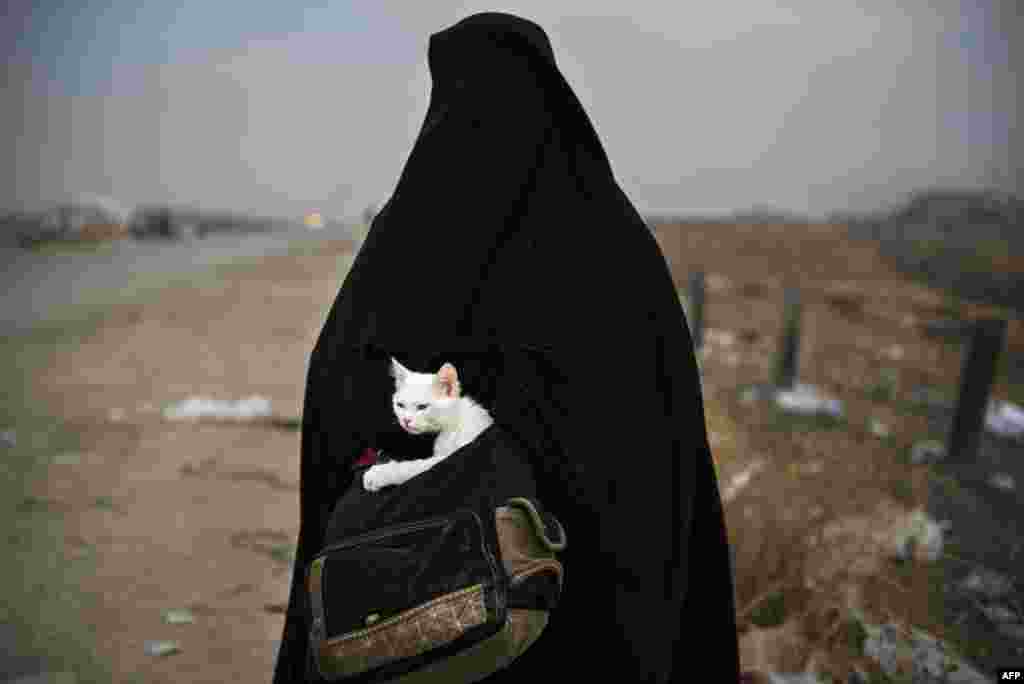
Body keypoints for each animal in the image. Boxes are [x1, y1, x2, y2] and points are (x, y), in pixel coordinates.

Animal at [364, 358, 495, 491]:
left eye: (422, 407)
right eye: (400, 405)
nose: (406, 420)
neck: (454, 423)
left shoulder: (447, 458)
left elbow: (416, 467)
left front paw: (379, 475)